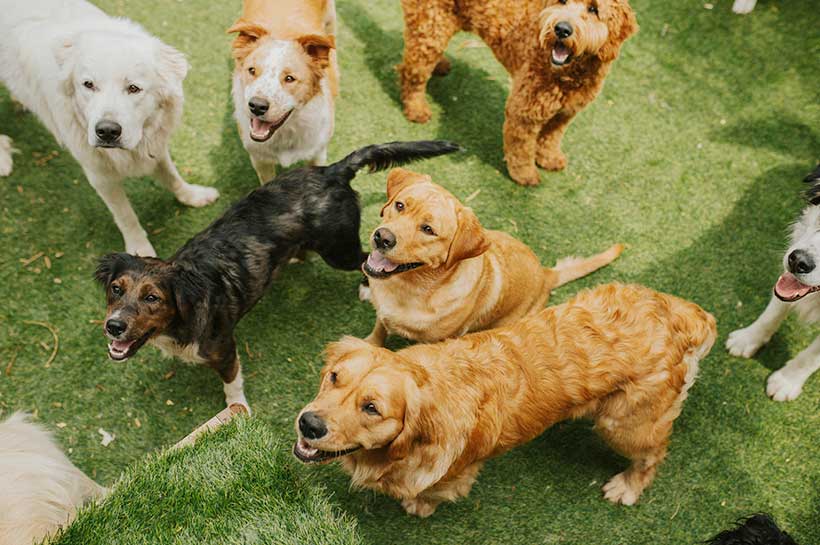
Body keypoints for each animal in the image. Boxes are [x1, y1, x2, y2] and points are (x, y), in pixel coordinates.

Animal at [0, 0, 221, 256]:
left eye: (133, 88)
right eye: (88, 85)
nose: (106, 131)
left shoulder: (154, 145)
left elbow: (172, 176)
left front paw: (193, 195)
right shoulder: (100, 176)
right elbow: (125, 215)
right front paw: (139, 250)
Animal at [95, 140, 462, 408]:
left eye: (152, 298)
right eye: (116, 289)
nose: (113, 326)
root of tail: (331, 171)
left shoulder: (225, 350)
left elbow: (232, 387)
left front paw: (237, 410)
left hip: (338, 250)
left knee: (366, 260)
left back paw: (365, 287)